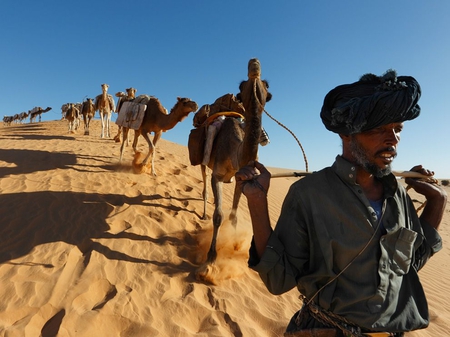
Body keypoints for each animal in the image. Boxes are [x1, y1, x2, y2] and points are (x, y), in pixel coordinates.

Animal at [202, 57, 272, 262]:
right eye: (241, 85)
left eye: (267, 84)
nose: (254, 63)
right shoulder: (216, 175)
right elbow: (218, 216)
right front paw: (211, 255)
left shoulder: (241, 178)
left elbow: (233, 216)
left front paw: (234, 246)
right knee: (204, 182)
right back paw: (203, 212)